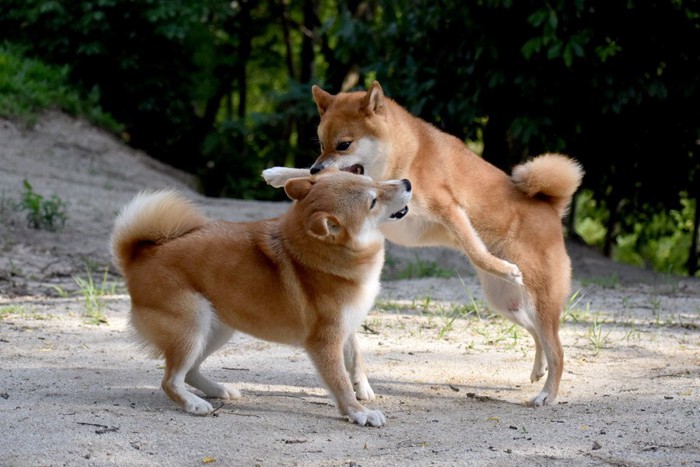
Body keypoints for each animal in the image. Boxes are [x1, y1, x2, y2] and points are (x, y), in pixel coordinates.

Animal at [110, 170, 410, 426]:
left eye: (369, 178)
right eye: (372, 201)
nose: (407, 182)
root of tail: (140, 255)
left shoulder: (346, 329)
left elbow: (355, 360)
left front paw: (363, 389)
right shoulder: (325, 342)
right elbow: (339, 381)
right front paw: (358, 412)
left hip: (217, 330)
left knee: (190, 372)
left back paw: (217, 389)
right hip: (192, 327)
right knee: (170, 380)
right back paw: (193, 404)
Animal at [262, 82, 584, 408]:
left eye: (343, 145)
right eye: (321, 144)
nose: (317, 167)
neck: (403, 158)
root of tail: (551, 206)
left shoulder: (450, 209)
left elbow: (475, 250)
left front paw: (500, 266)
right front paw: (279, 173)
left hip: (537, 300)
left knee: (557, 349)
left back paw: (547, 393)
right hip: (507, 303)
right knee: (540, 336)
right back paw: (539, 368)